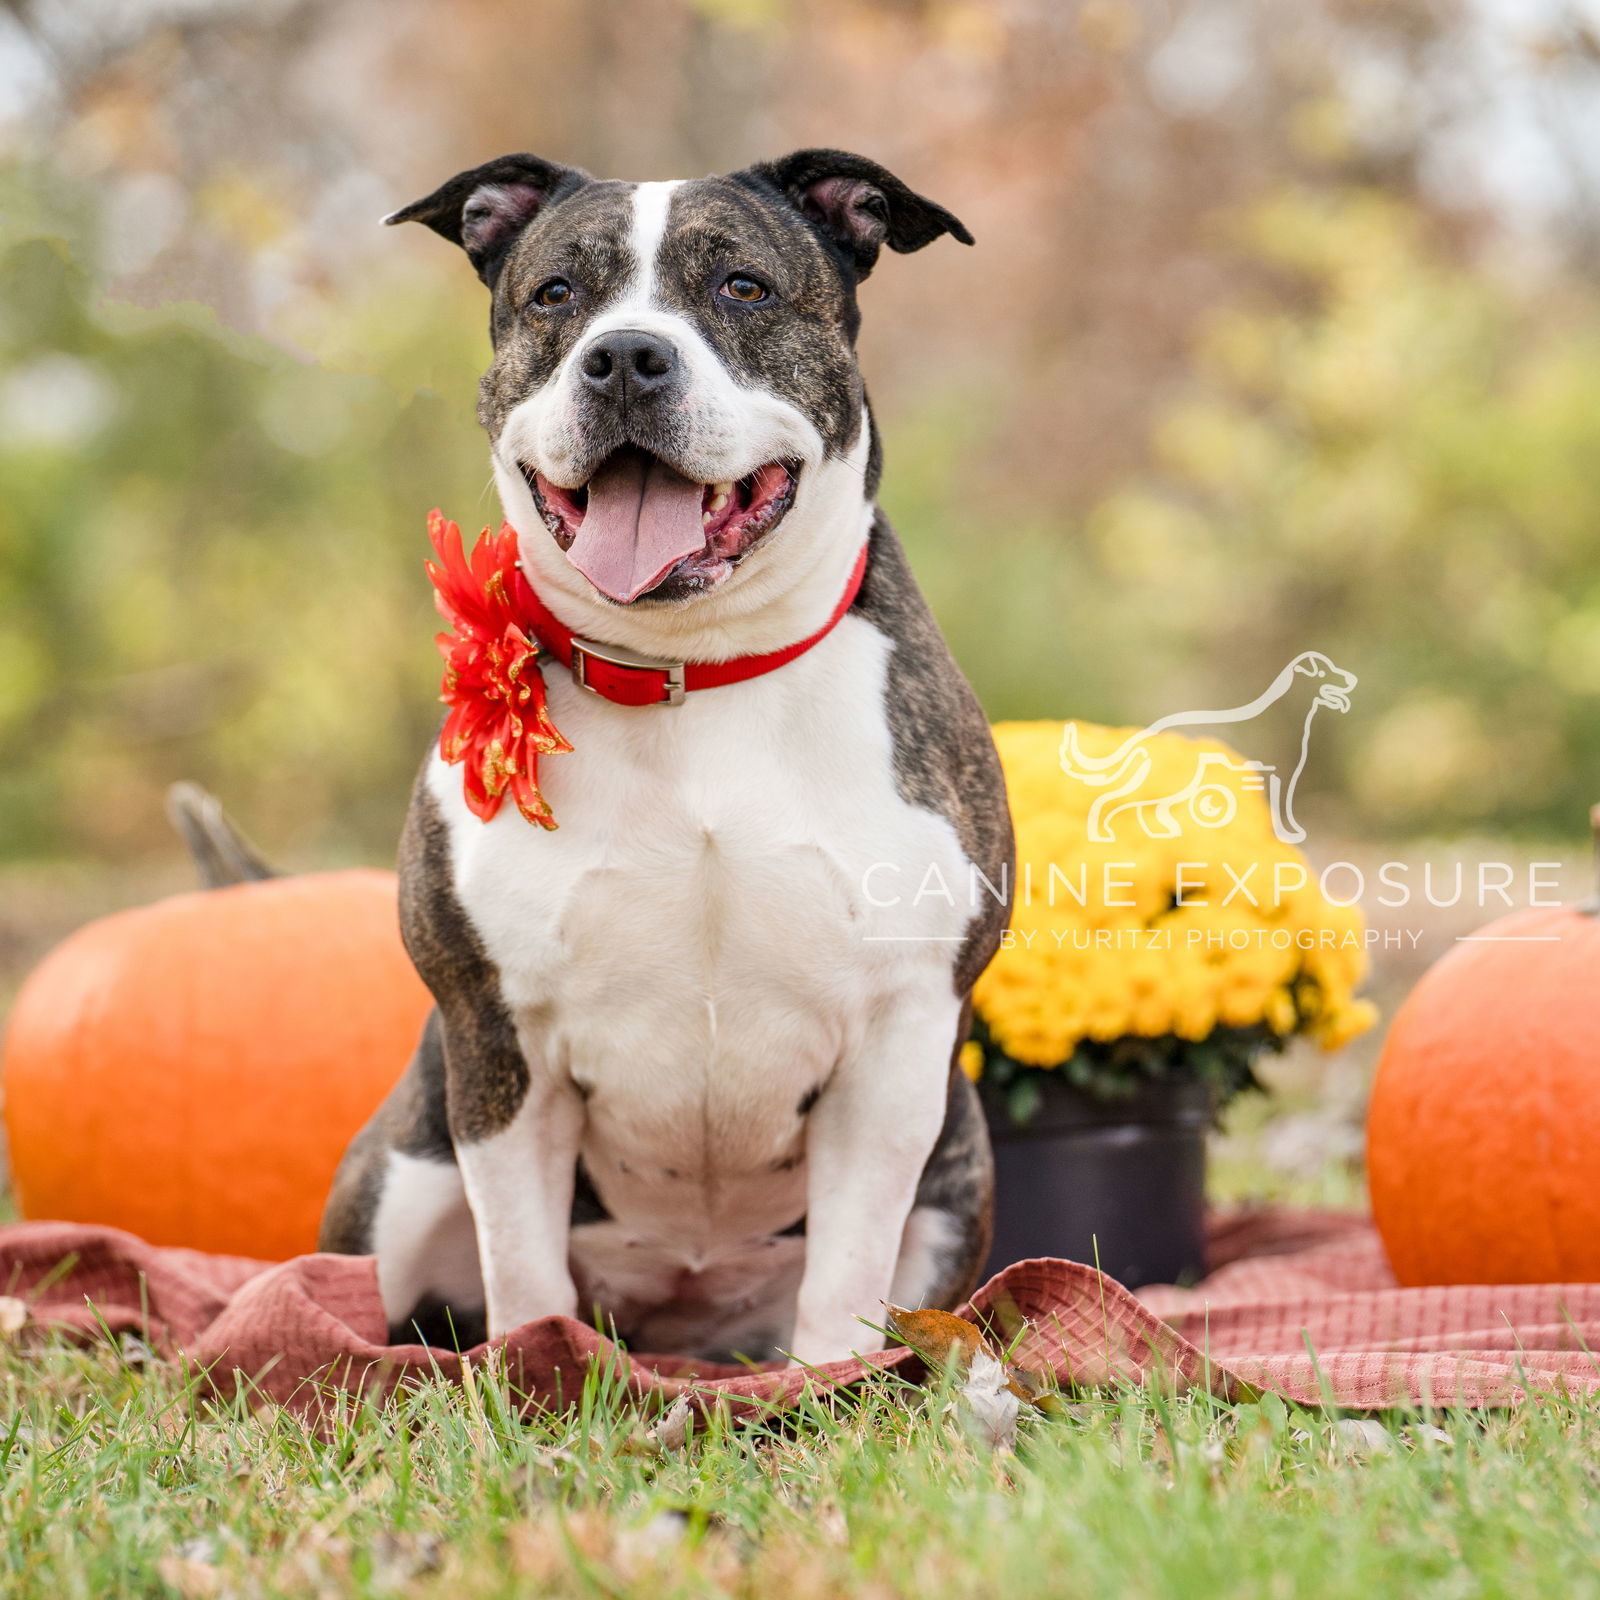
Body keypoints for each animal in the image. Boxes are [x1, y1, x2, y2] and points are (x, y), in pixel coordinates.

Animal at [315, 147, 1011, 1363]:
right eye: (555, 295)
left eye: (741, 287)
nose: (626, 357)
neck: (693, 672)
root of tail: (676, 1326)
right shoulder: (499, 1040)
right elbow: (523, 1262)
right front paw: (537, 1365)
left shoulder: (898, 1042)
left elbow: (845, 1270)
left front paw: (832, 1382)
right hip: (403, 1174)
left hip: (953, 1171)